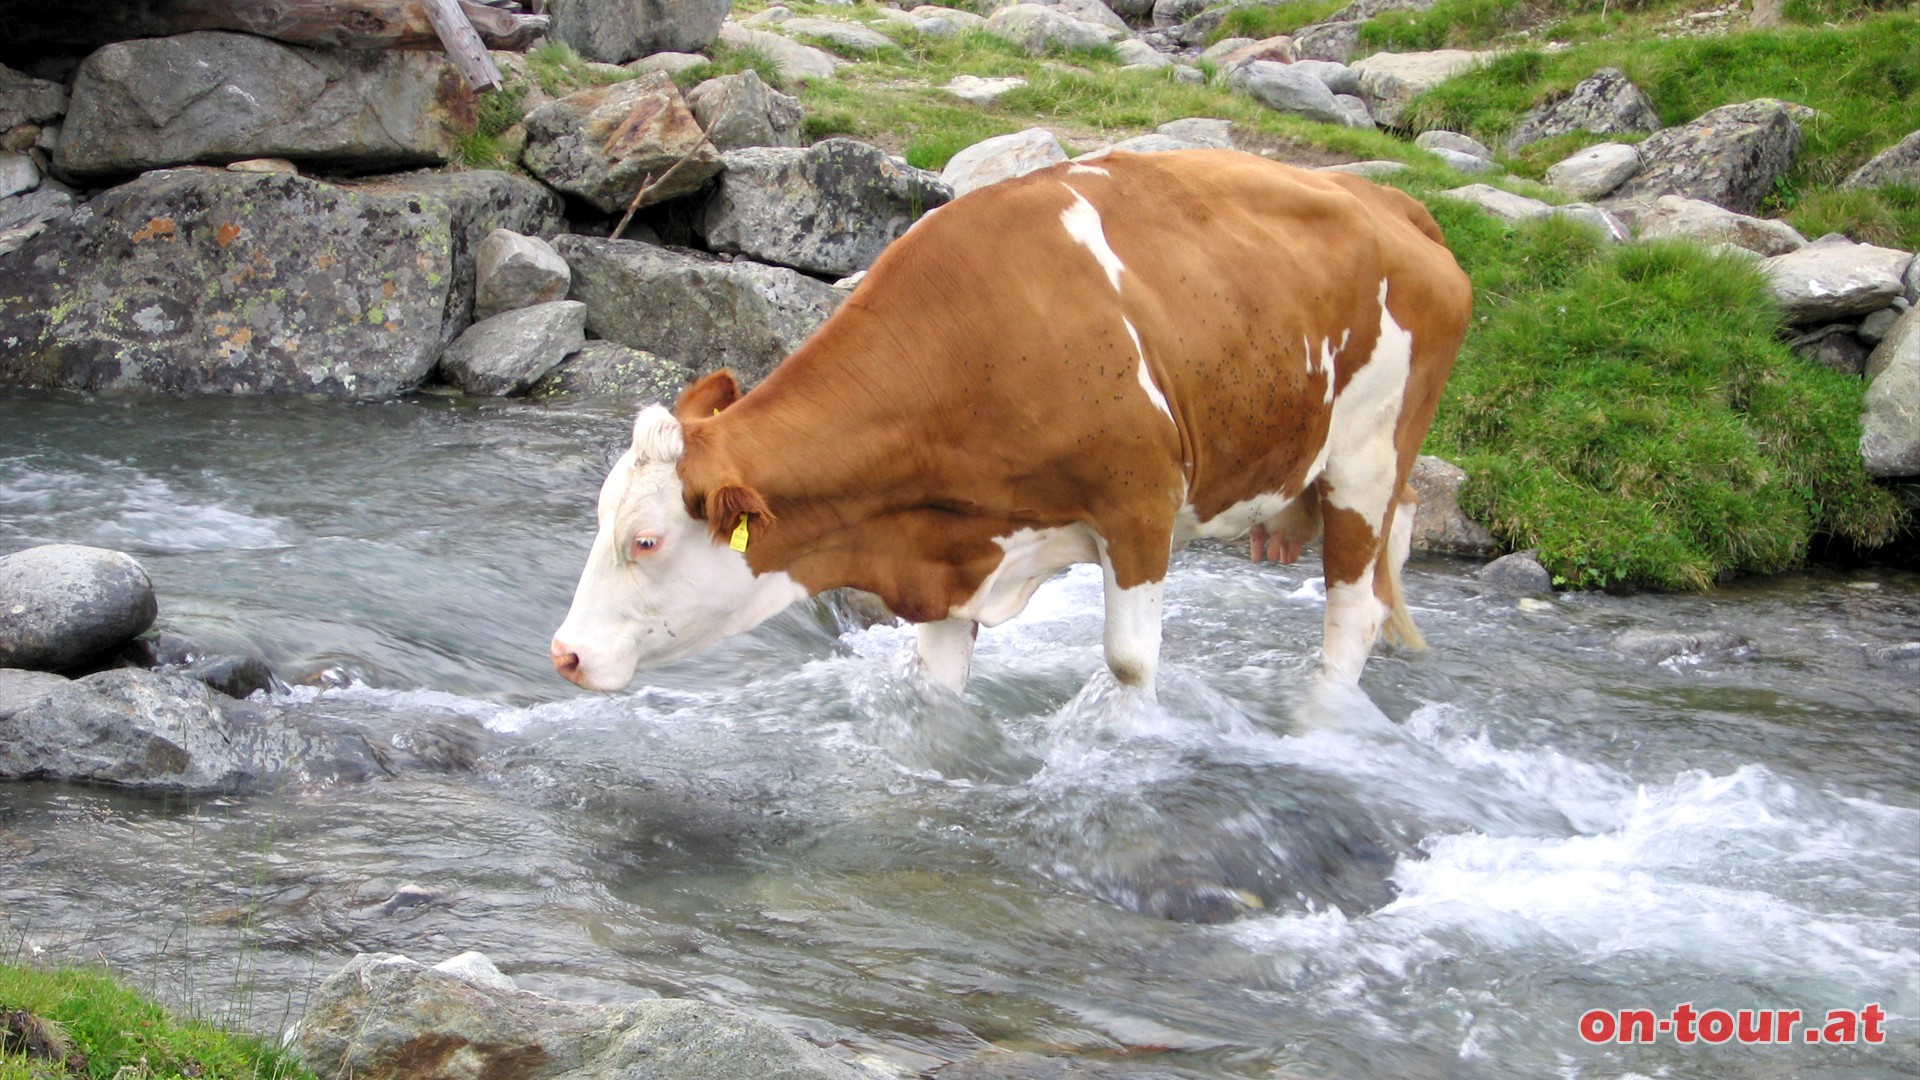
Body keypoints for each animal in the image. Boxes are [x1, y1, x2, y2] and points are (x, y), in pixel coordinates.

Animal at [552, 148, 1466, 699]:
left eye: (645, 541)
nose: (564, 652)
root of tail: (1387, 199)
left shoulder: (1140, 508)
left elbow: (1129, 666)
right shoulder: (948, 557)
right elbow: (936, 688)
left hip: (1364, 458)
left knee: (1353, 611)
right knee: (1401, 545)